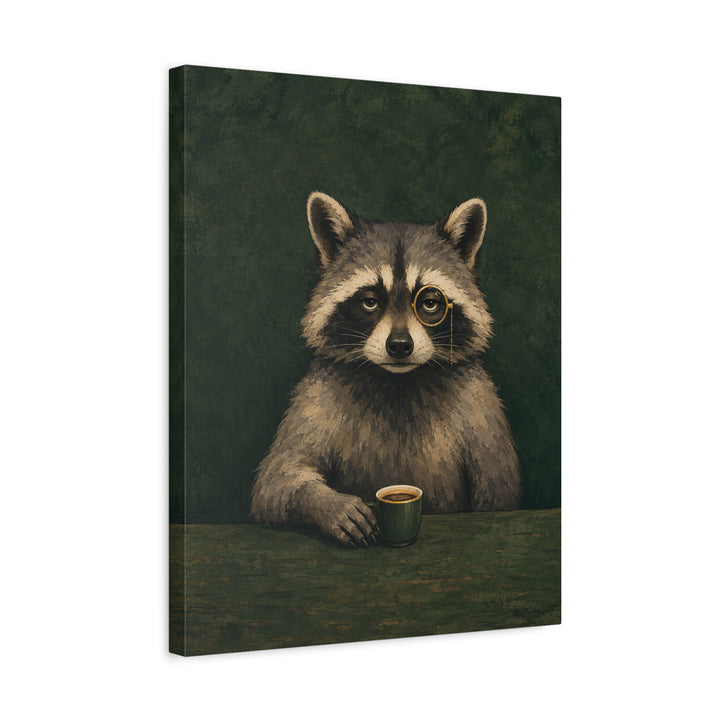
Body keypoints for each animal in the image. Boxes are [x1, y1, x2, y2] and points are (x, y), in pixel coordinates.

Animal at [250, 192, 521, 546]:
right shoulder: (315, 396)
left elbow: (499, 490)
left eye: (429, 302)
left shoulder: (481, 406)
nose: (400, 346)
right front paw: (328, 503)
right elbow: (277, 479)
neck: (397, 382)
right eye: (370, 301)